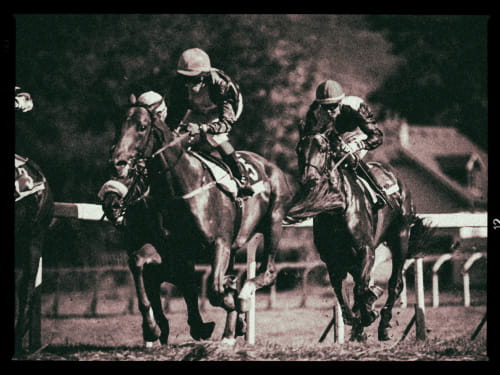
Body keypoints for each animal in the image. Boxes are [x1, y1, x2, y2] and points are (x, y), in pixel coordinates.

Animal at [292, 133, 434, 344]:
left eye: (323, 150)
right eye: (299, 150)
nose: (309, 179)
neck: (337, 209)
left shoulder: (365, 250)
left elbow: (360, 289)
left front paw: (369, 314)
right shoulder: (333, 261)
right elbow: (344, 295)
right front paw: (358, 325)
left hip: (400, 238)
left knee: (395, 284)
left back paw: (383, 326)